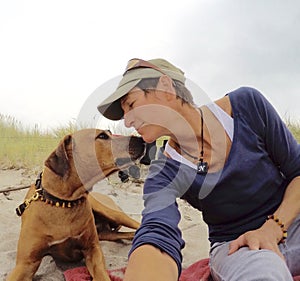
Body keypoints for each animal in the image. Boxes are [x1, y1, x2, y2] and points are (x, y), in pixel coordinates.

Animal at [5, 129, 144, 280]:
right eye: (102, 136)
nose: (142, 140)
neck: (63, 202)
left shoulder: (93, 249)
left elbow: (101, 273)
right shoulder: (26, 263)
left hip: (111, 212)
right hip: (106, 233)